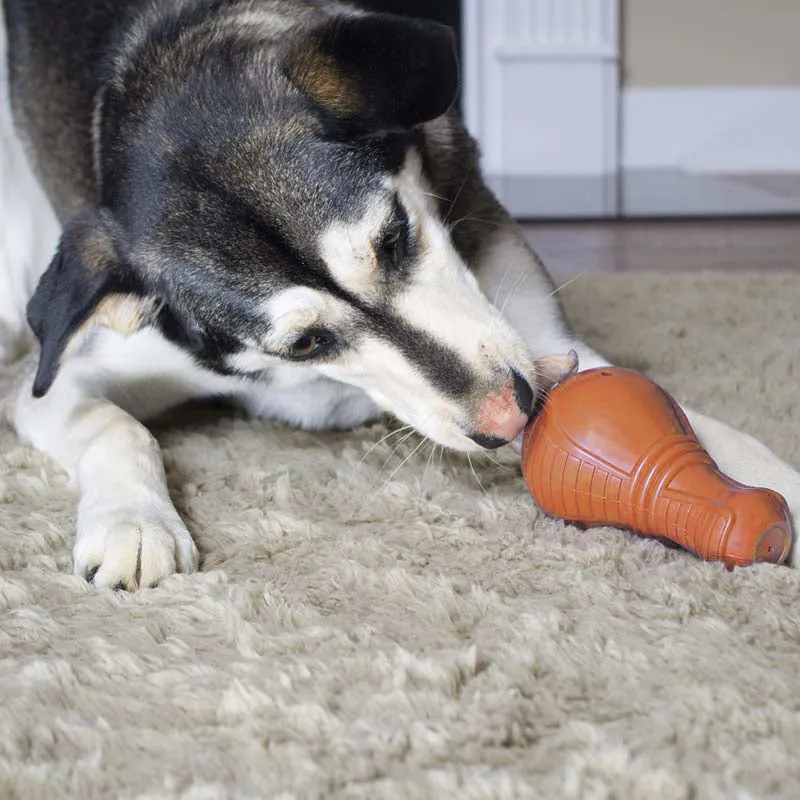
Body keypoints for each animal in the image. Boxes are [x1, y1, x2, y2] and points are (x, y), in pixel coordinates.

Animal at [1, 0, 800, 588]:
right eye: (305, 342)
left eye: (393, 237)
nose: (512, 415)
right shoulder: (60, 381)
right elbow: (115, 426)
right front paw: (134, 525)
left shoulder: (548, 343)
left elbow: (712, 432)